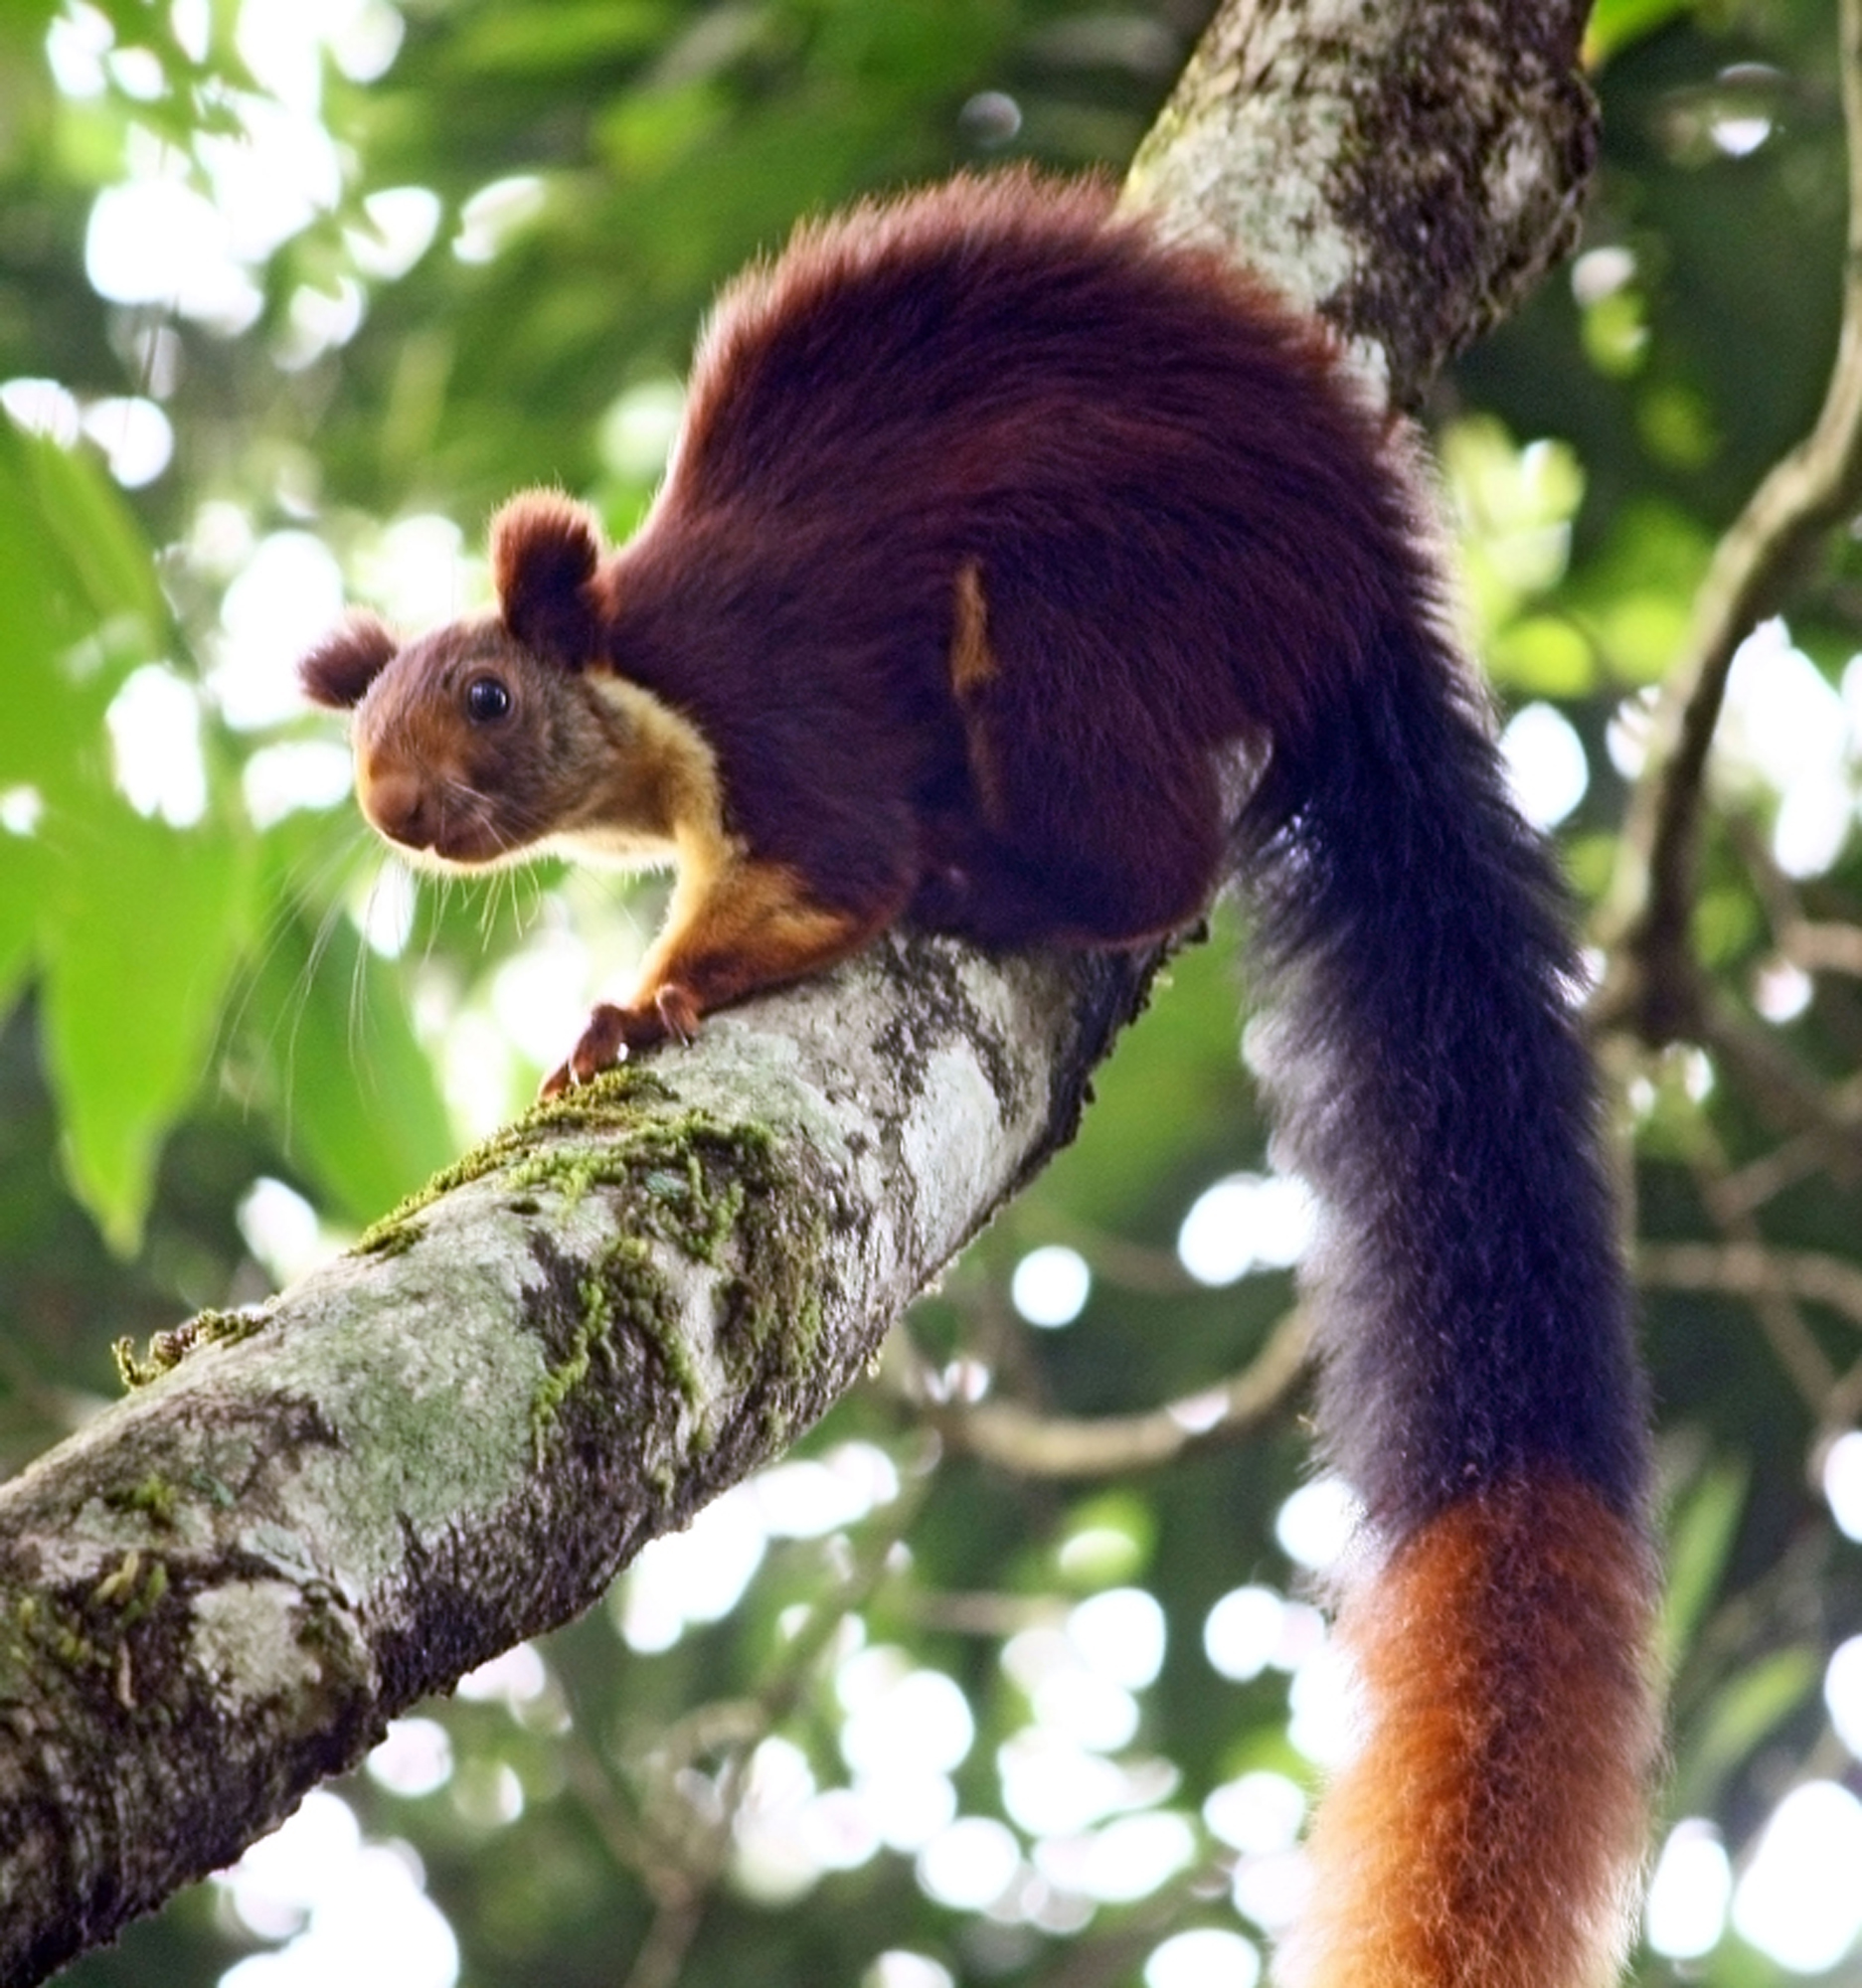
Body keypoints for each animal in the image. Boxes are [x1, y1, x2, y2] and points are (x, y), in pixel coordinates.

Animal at [301, 170, 1657, 1988]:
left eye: (484, 697)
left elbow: (828, 877)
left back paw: (995, 875)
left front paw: (629, 1012)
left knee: (1141, 845)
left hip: (1088, 584)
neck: (642, 695)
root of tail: (1364, 606)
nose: (394, 811)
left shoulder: (782, 713)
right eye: (363, 731)